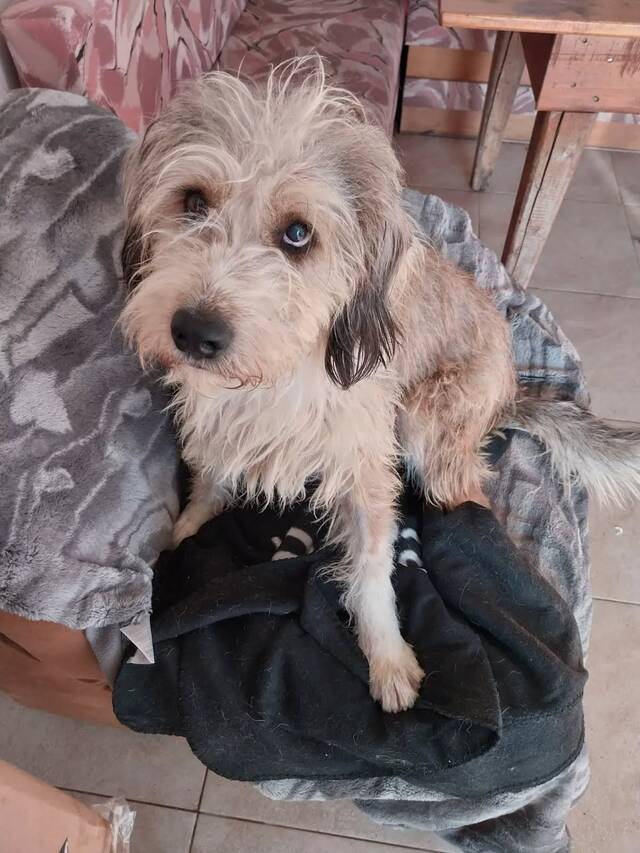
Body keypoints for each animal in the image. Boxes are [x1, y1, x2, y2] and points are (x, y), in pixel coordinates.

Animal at [120, 60, 640, 713]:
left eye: (297, 234)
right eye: (192, 201)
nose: (193, 333)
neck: (277, 377)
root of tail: (507, 397)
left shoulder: (364, 468)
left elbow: (371, 572)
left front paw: (388, 657)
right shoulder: (218, 423)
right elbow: (211, 482)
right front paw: (185, 531)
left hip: (424, 419)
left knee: (472, 503)